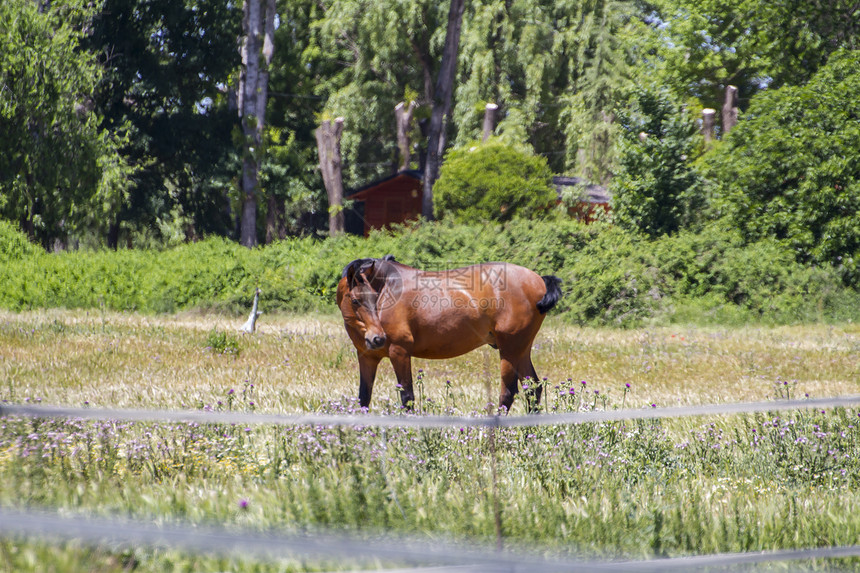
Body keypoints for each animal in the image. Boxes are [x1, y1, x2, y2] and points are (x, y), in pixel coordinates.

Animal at [336, 256, 564, 412]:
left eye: (375, 298)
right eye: (355, 300)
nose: (377, 338)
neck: (389, 287)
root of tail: (538, 280)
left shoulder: (399, 352)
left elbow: (407, 398)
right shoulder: (367, 358)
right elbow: (364, 398)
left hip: (510, 351)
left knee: (508, 393)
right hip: (521, 350)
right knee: (533, 389)